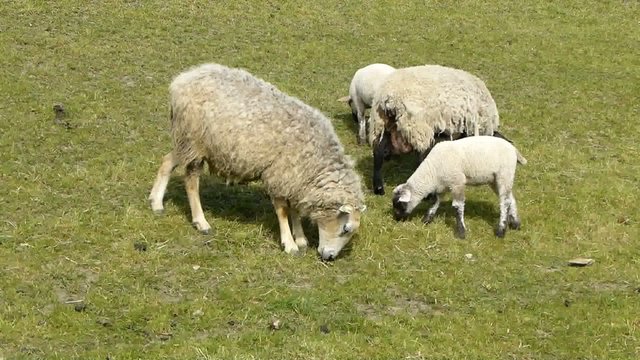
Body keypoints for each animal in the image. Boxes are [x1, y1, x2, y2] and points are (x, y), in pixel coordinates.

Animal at [146, 63, 364, 260]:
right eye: (345, 228)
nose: (330, 257)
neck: (316, 159)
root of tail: (182, 80)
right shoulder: (278, 174)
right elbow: (283, 211)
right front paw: (290, 244)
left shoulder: (294, 178)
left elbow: (294, 210)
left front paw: (301, 238)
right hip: (194, 140)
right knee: (191, 181)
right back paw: (201, 222)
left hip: (188, 141)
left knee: (167, 161)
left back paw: (156, 203)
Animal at [368, 64, 508, 194]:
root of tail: (389, 99)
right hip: (418, 128)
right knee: (420, 156)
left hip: (380, 125)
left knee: (378, 152)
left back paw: (378, 188)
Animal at [392, 135, 528, 239]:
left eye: (399, 204)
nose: (396, 219)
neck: (432, 172)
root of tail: (513, 149)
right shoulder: (443, 186)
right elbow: (436, 201)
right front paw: (427, 219)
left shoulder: (457, 182)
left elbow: (457, 206)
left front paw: (461, 232)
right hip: (495, 180)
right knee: (510, 198)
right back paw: (516, 224)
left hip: (504, 174)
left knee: (504, 202)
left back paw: (501, 231)